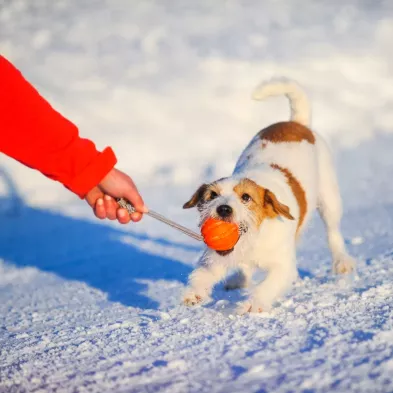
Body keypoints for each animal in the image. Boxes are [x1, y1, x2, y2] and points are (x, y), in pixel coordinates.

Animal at [181, 78, 356, 314]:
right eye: (212, 195)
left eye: (246, 197)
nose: (223, 209)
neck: (253, 239)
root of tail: (296, 123)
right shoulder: (215, 257)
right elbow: (203, 272)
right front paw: (194, 293)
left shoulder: (282, 265)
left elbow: (270, 284)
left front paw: (253, 304)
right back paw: (239, 279)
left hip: (329, 199)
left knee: (333, 232)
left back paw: (342, 262)